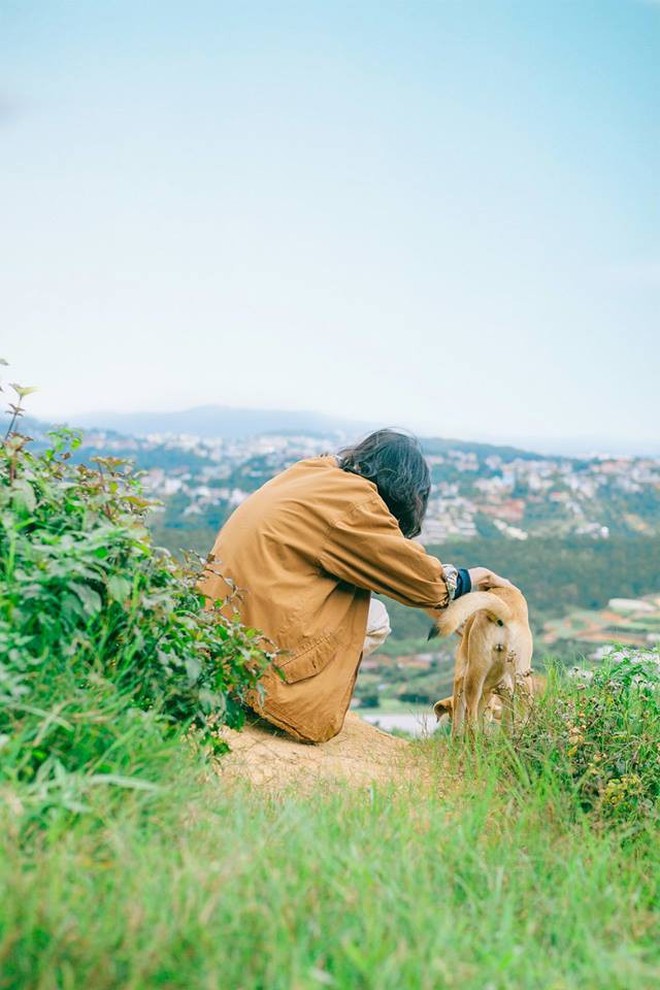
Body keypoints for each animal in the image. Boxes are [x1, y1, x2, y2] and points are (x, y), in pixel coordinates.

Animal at [430, 588, 532, 736]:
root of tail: (505, 612)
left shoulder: (459, 681)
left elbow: (458, 726)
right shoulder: (502, 693)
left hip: (474, 678)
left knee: (472, 722)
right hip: (522, 677)